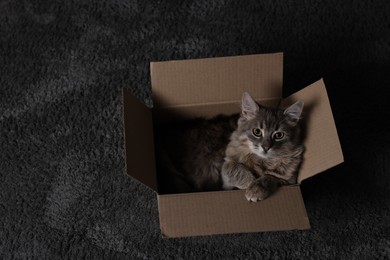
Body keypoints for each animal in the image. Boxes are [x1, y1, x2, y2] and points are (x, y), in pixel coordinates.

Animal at [155, 92, 304, 202]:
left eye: (278, 135)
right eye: (257, 132)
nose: (265, 147)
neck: (261, 161)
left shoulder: (288, 181)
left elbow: (270, 177)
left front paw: (255, 189)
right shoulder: (226, 165)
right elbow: (236, 170)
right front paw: (250, 183)